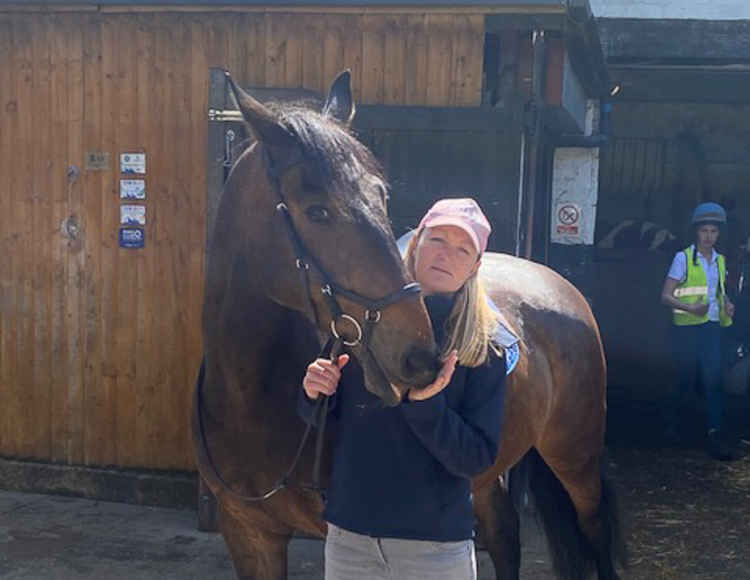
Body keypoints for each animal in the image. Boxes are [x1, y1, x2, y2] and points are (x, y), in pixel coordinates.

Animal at [195, 70, 628, 576]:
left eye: (381, 197)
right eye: (317, 210)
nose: (419, 355)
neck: (249, 395)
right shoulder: (248, 534)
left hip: (575, 456)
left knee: (593, 530)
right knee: (504, 534)